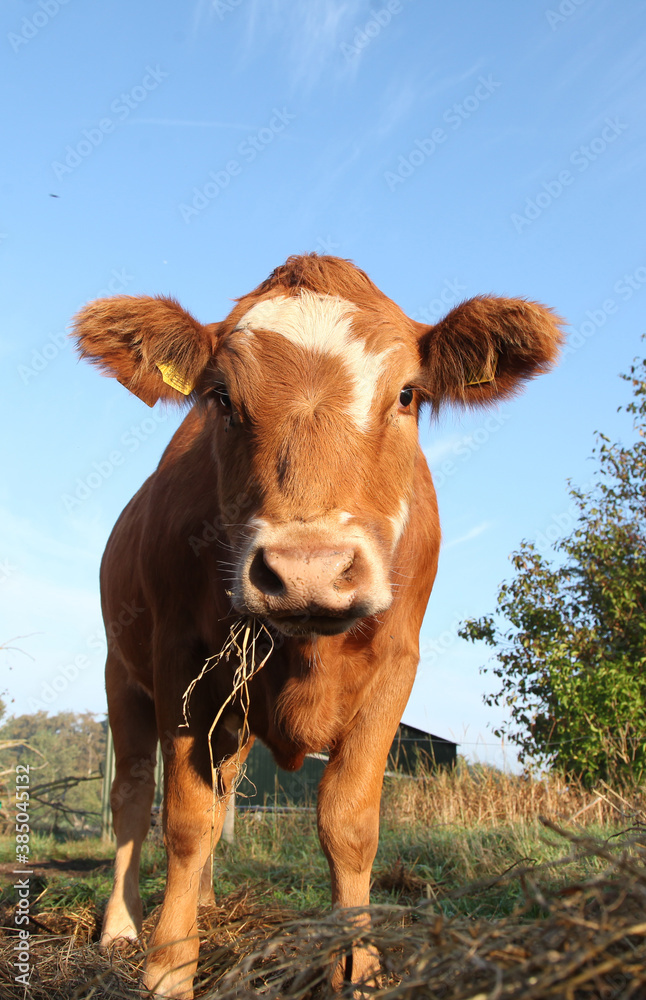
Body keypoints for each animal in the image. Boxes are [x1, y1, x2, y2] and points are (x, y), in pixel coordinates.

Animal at [72, 254, 563, 997]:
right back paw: (124, 927)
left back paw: (207, 902)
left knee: (223, 791)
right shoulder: (179, 661)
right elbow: (182, 818)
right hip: (121, 676)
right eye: (220, 398)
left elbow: (347, 823)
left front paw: (357, 962)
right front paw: (167, 965)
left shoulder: (395, 668)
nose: (307, 568)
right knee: (131, 796)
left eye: (407, 395)